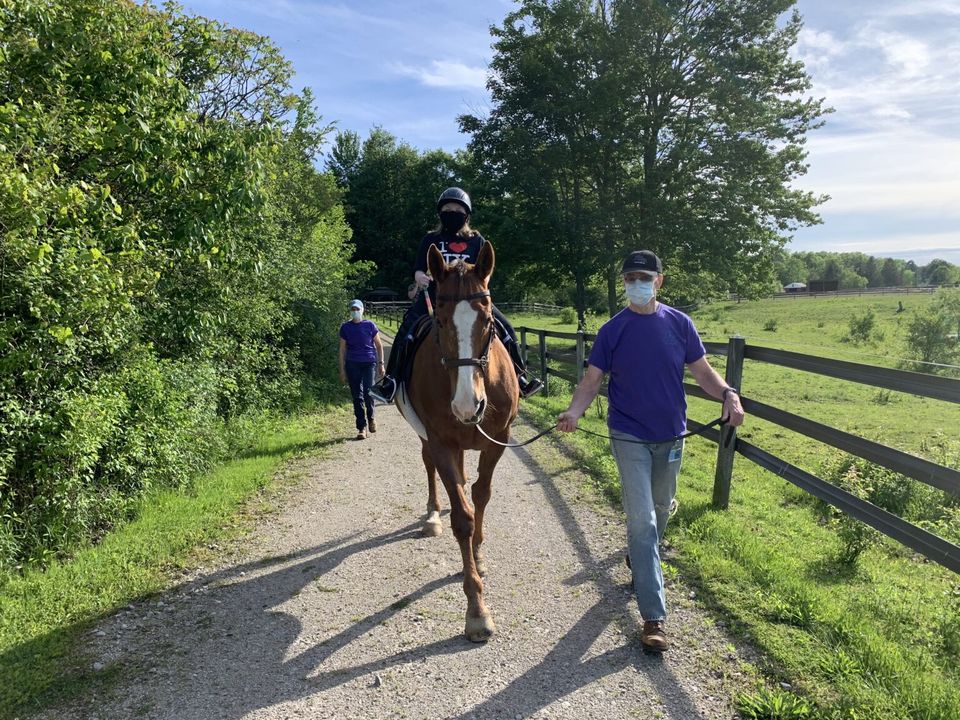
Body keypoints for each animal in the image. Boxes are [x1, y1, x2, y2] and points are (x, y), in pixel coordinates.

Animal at [396, 242, 520, 640]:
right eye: (440, 321)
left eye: (489, 322)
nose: (468, 404)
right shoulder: (440, 442)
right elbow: (463, 517)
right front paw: (477, 610)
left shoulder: (498, 440)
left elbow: (481, 494)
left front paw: (478, 555)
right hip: (427, 439)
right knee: (430, 469)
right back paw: (434, 513)